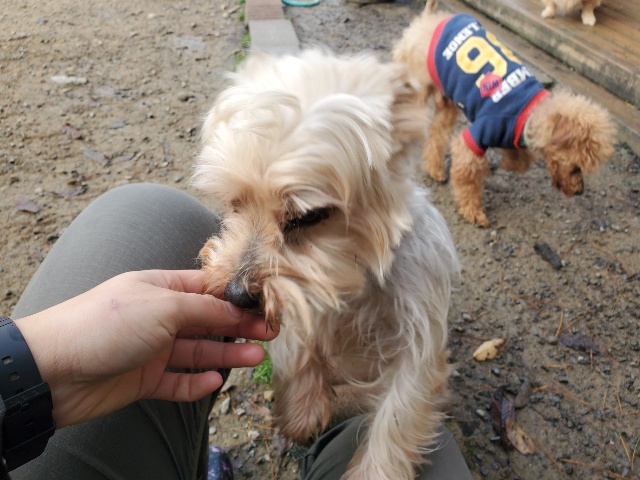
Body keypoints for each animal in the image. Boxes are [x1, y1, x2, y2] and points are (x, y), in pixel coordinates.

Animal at [191, 49, 460, 480]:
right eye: (233, 203)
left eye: (309, 217)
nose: (235, 294)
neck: (354, 276)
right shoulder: (297, 295)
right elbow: (298, 350)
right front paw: (302, 413)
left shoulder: (418, 341)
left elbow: (398, 412)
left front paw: (373, 472)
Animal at [393, 0, 616, 226]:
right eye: (577, 167)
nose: (580, 191)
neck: (530, 112)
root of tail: (429, 18)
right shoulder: (477, 136)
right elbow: (468, 178)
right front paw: (473, 211)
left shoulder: (513, 133)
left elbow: (521, 161)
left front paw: (508, 162)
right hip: (417, 85)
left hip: (447, 98)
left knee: (437, 133)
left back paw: (435, 170)